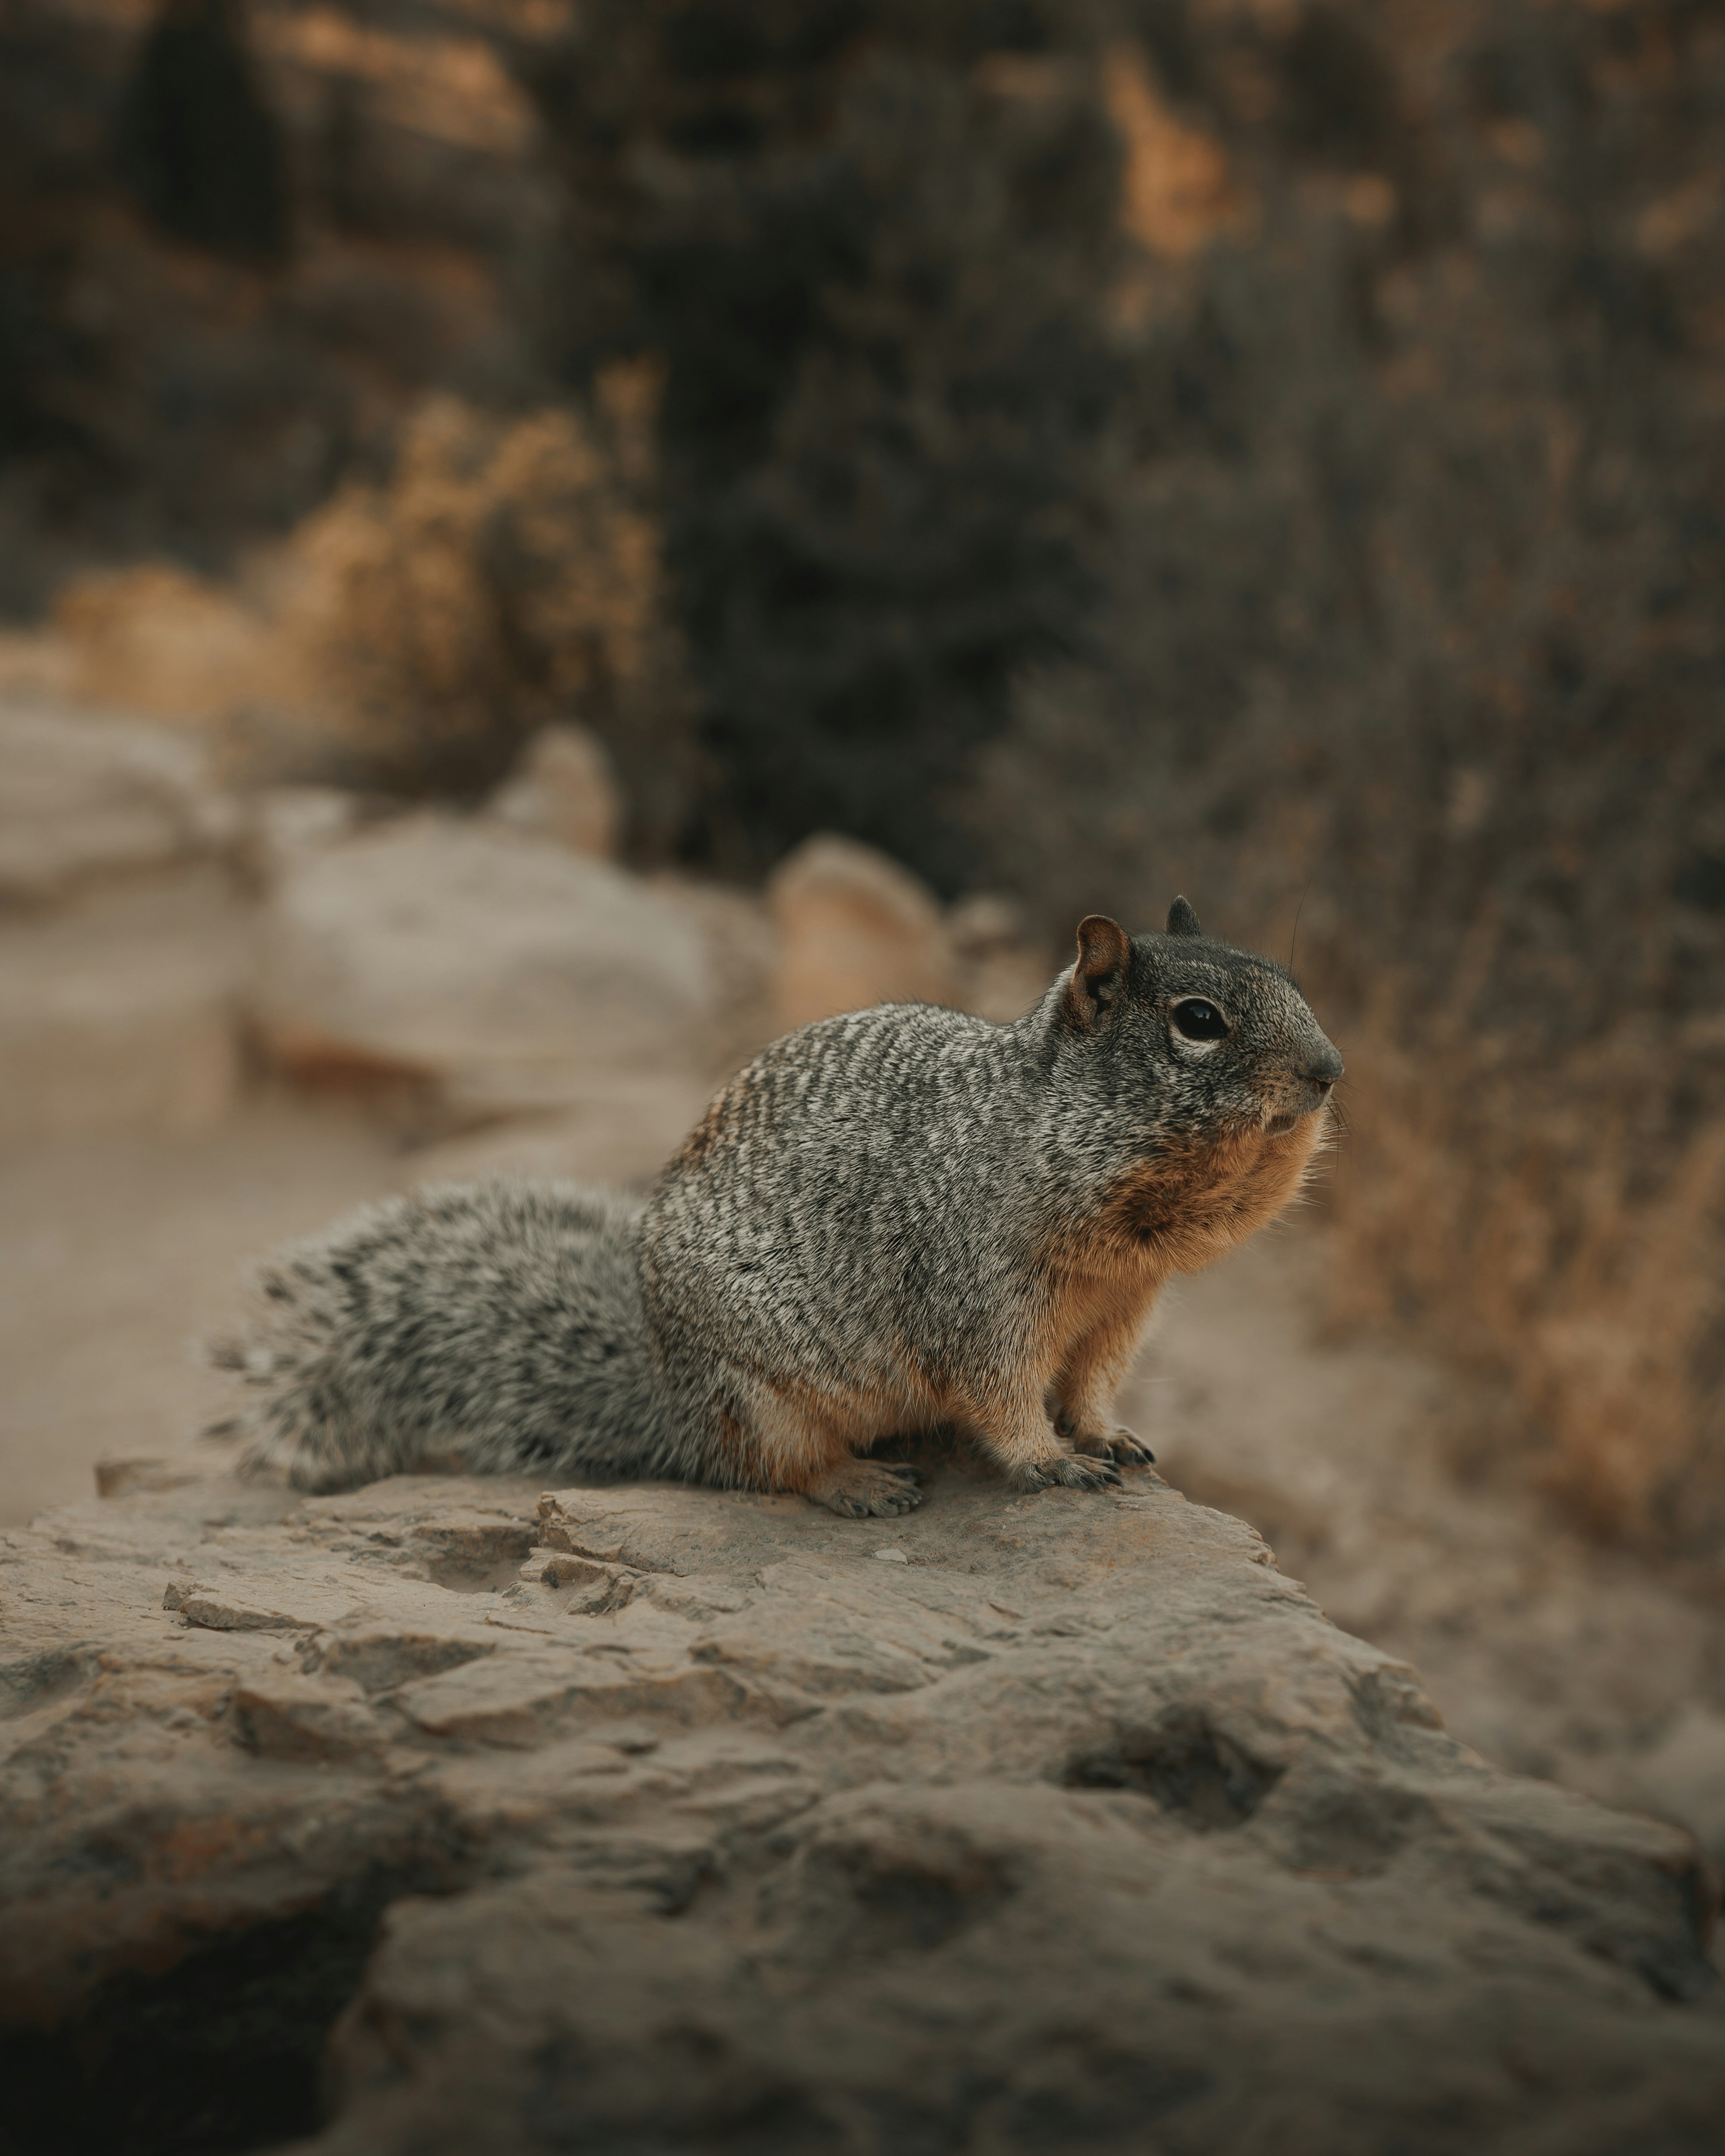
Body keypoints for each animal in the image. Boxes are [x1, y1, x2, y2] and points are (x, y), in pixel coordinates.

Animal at [215, 901, 1337, 1526]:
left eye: (1289, 978)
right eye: (1197, 1021)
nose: (1329, 1070)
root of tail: (668, 1396)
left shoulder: (1121, 1307)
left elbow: (1093, 1385)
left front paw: (1107, 1437)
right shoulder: (981, 1293)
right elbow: (1005, 1394)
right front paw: (1050, 1462)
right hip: (763, 1396)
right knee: (770, 1472)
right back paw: (859, 1484)